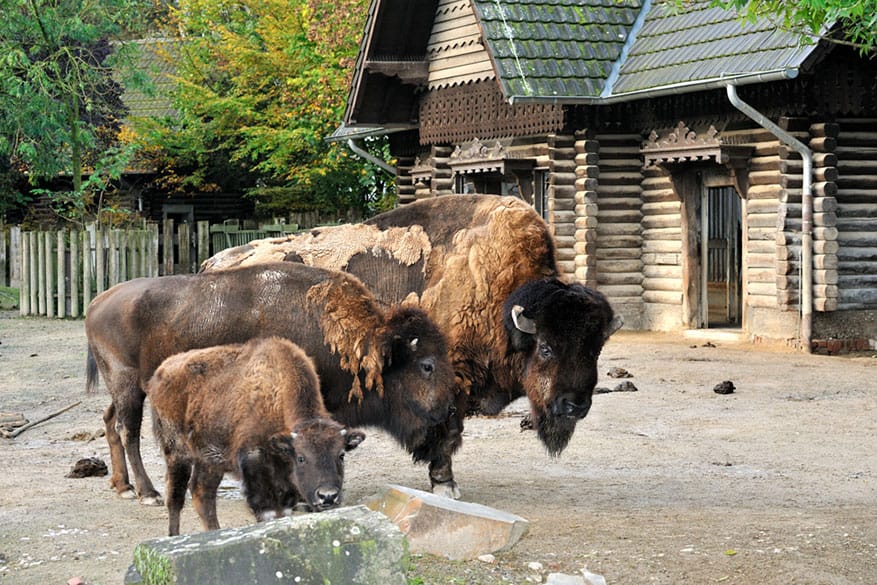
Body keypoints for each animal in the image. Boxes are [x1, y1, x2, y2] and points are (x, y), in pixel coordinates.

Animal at [202, 194, 622, 498]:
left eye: (595, 349)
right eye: (547, 347)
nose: (575, 405)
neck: (501, 298)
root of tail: (211, 263)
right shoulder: (449, 384)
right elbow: (446, 434)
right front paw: (446, 485)